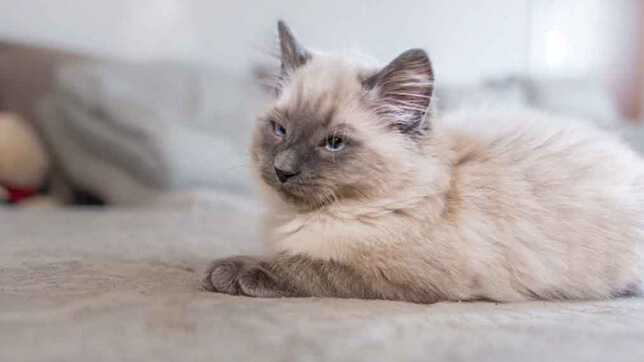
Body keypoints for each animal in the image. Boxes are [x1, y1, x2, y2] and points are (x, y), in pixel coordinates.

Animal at [204, 20, 644, 302]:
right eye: (279, 130)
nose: (283, 169)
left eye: (334, 143)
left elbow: (306, 265)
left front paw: (227, 271)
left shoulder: (394, 275)